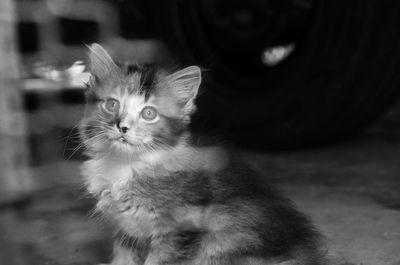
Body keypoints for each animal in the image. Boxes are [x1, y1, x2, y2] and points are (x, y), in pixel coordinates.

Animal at [80, 43, 324, 264]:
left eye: (148, 113)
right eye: (112, 104)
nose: (122, 127)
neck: (127, 164)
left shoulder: (179, 231)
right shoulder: (126, 228)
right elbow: (123, 258)